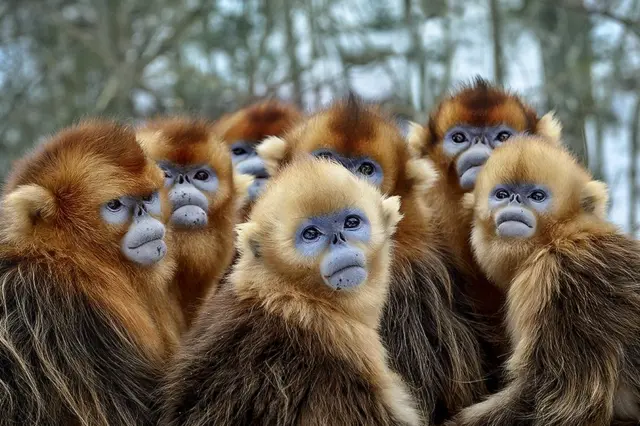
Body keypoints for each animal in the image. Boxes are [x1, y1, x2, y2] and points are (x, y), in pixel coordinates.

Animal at [448, 135, 640, 426]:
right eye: (501, 194)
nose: (515, 200)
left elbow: (558, 399)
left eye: (537, 196)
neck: (560, 237)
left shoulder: (557, 280)